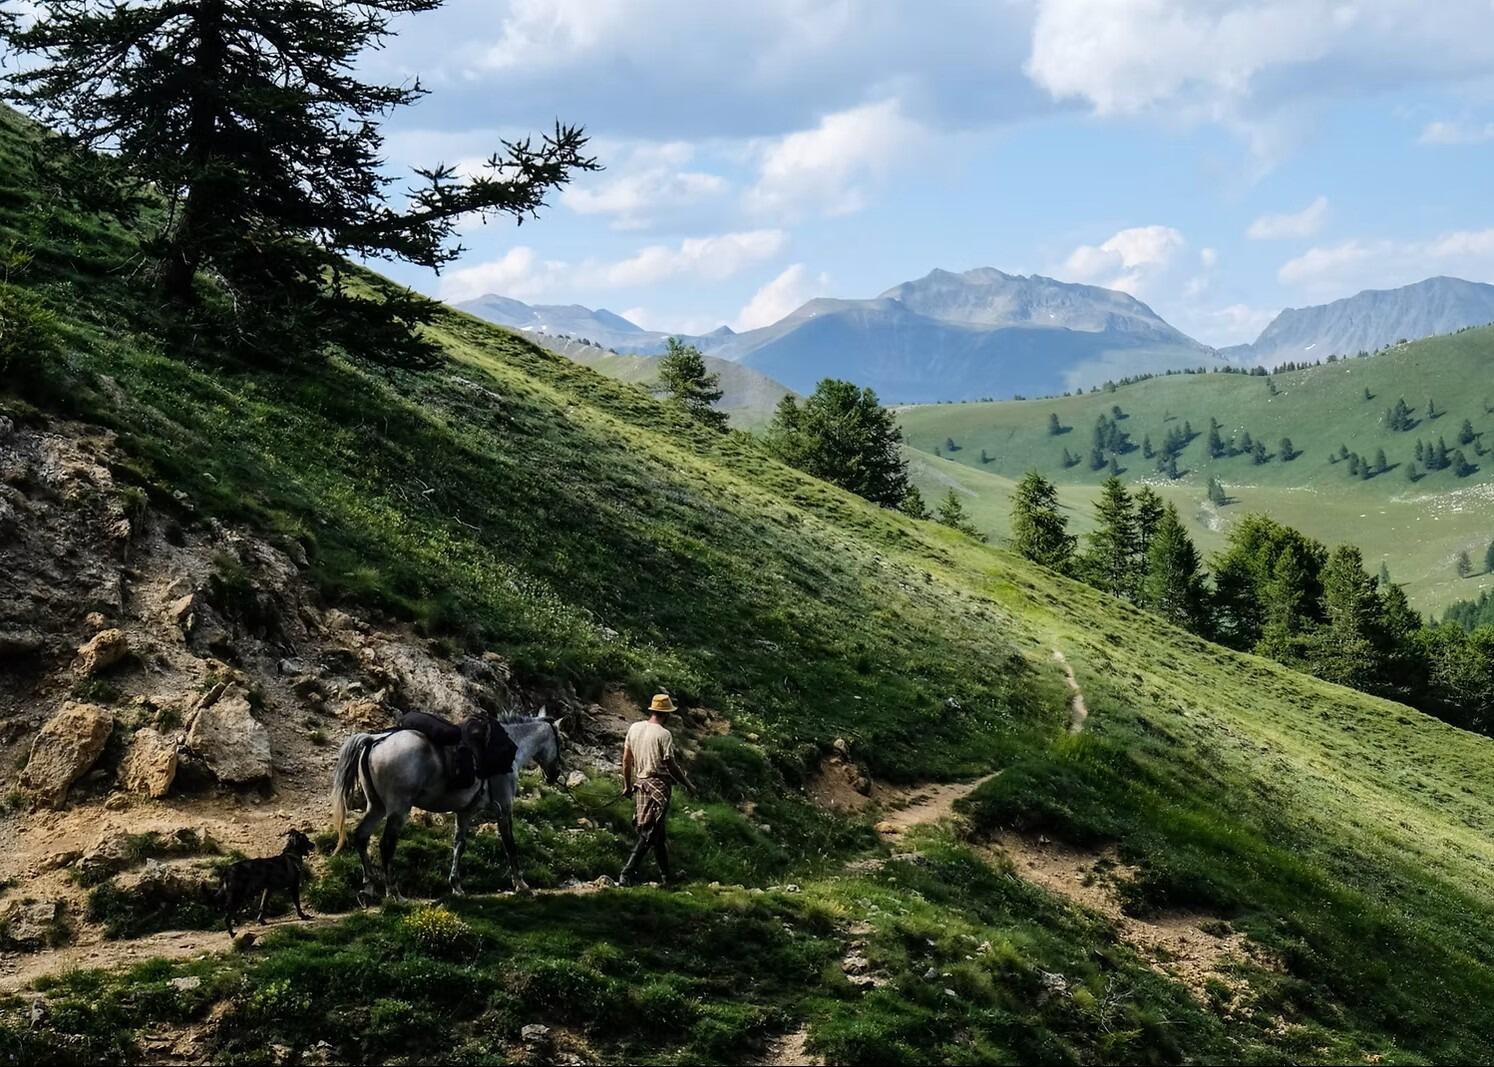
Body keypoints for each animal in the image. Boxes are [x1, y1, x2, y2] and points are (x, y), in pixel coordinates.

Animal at [330, 711, 566, 901]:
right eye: (560, 742)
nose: (555, 774)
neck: (511, 749)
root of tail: (374, 740)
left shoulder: (465, 812)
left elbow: (459, 845)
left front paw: (456, 886)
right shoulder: (504, 808)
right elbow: (510, 845)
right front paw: (521, 885)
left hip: (376, 806)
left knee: (361, 836)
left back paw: (369, 886)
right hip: (398, 809)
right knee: (386, 844)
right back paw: (394, 892)